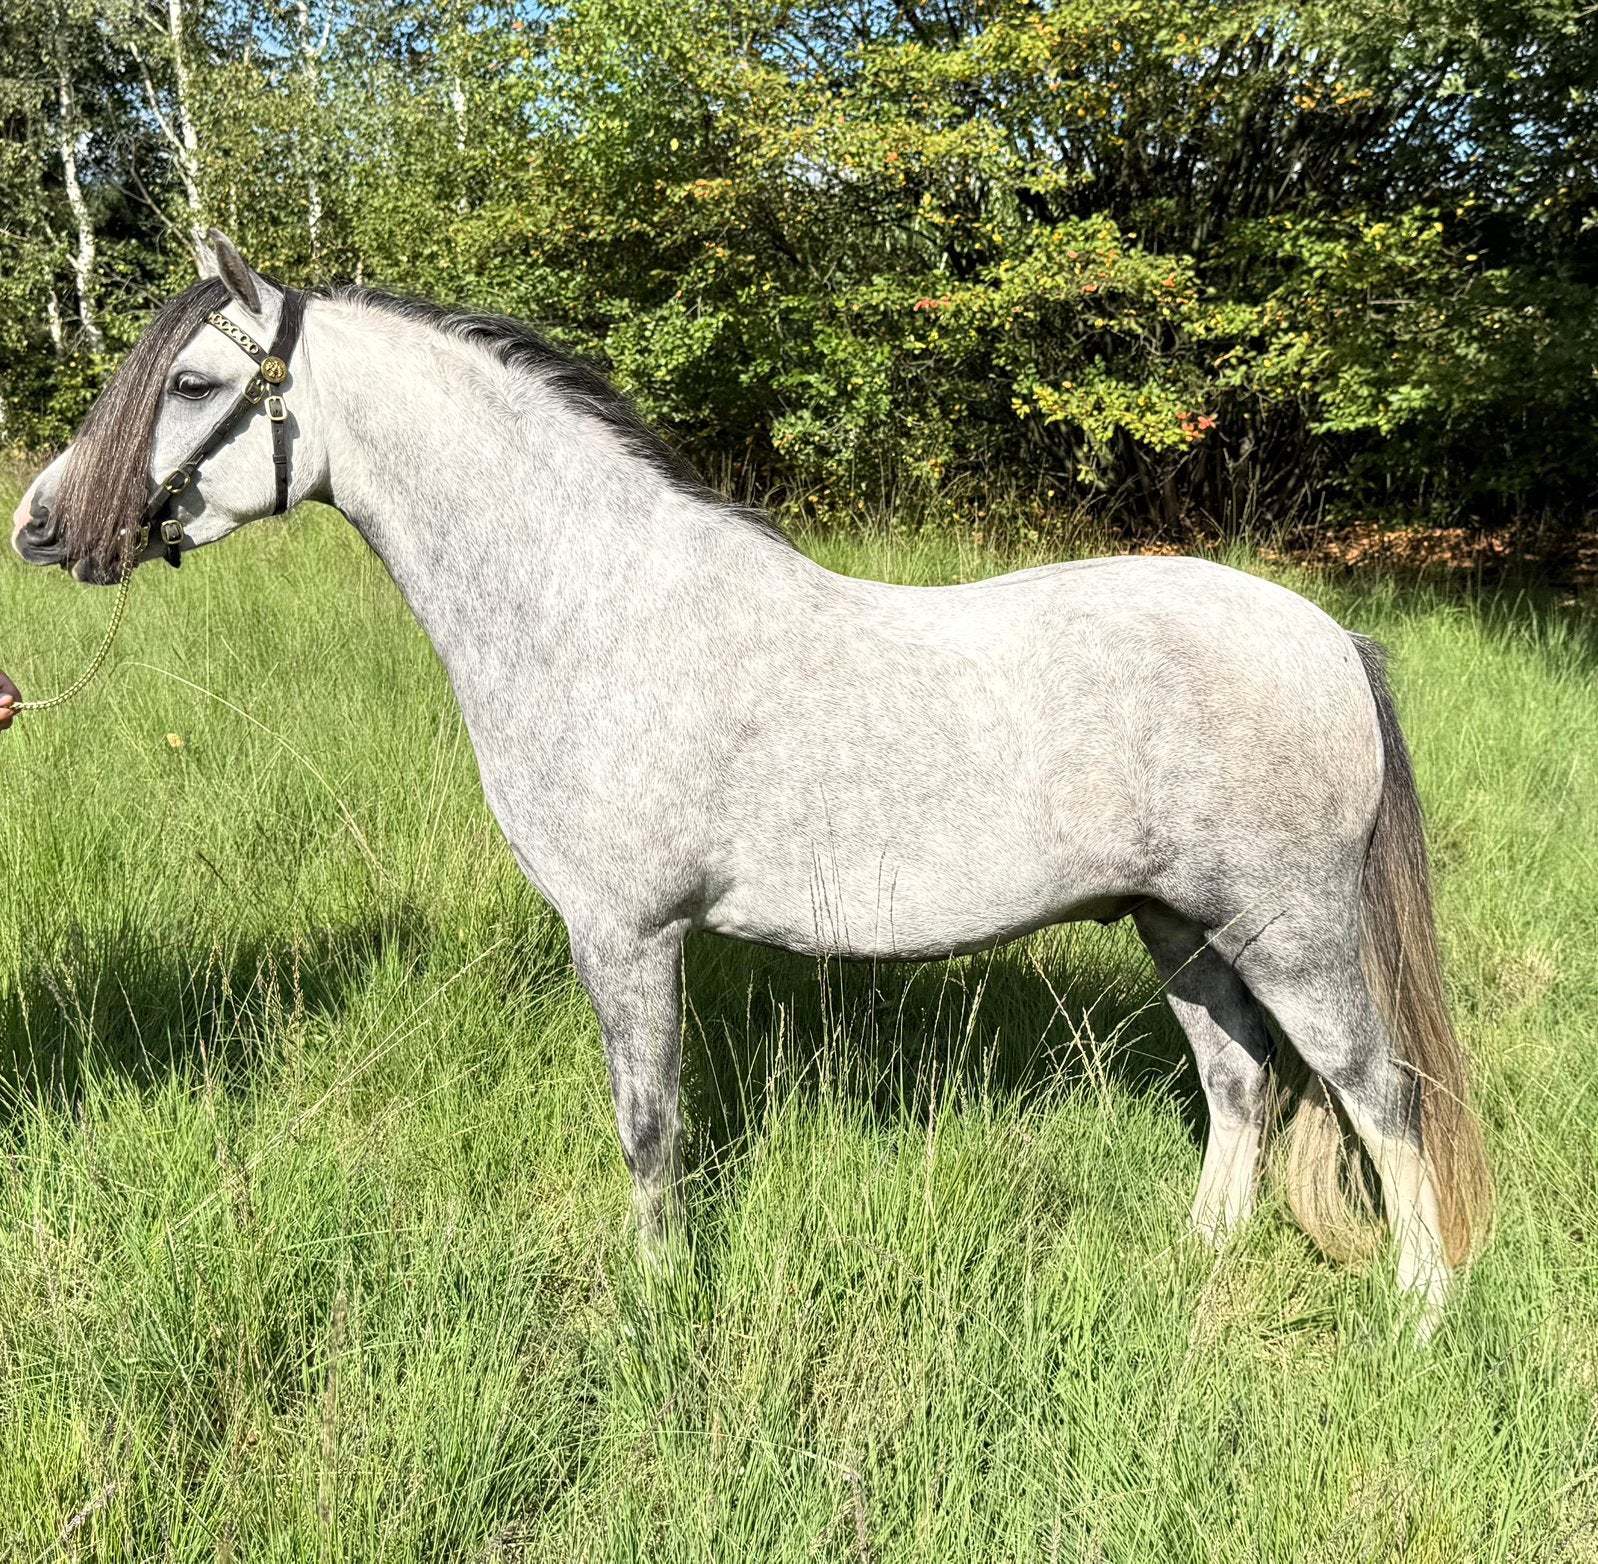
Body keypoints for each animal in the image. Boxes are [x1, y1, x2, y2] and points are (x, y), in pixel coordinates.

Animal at [11, 231, 1491, 1333]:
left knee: (1378, 1091)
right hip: (1176, 924)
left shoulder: (626, 933)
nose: (41, 524)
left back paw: (1420, 1312)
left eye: (192, 384)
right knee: (1237, 1078)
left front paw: (659, 1296)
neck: (593, 607)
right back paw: (1200, 1255)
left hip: (1289, 930)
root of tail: (1325, 637)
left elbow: (648, 1124)